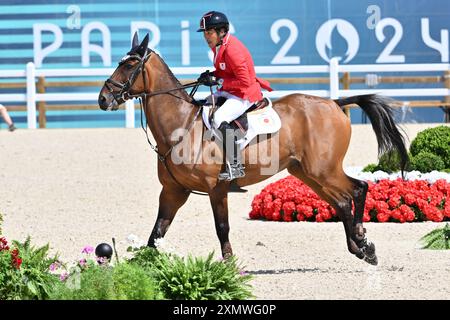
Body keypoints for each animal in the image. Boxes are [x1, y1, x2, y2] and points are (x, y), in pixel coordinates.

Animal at [98, 33, 408, 266]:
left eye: (130, 65)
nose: (103, 99)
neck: (181, 126)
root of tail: (334, 102)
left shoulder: (217, 189)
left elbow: (221, 228)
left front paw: (229, 267)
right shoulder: (174, 191)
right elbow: (156, 234)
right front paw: (141, 268)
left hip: (324, 170)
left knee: (357, 189)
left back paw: (363, 241)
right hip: (307, 173)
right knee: (342, 202)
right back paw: (361, 248)